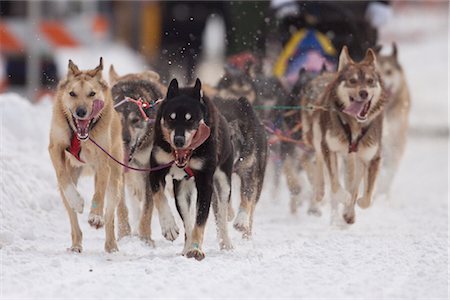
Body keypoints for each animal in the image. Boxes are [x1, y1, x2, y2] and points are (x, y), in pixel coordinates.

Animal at [48, 57, 125, 252]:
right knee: (73, 218)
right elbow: (62, 175)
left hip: (115, 181)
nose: (81, 112)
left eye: (92, 94)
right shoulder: (55, 148)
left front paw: (96, 216)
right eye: (72, 93)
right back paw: (76, 244)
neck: (80, 135)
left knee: (109, 215)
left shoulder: (103, 162)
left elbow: (98, 193)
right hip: (68, 183)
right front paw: (77, 201)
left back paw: (110, 243)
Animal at [306, 47, 386, 224]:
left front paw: (355, 205)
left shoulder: (372, 157)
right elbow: (336, 185)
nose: (363, 93)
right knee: (319, 161)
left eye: (370, 81)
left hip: (355, 159)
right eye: (352, 81)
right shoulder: (329, 148)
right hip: (319, 138)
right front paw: (344, 197)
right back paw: (320, 191)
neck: (354, 125)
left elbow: (365, 196)